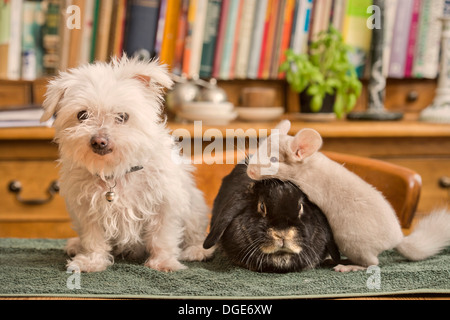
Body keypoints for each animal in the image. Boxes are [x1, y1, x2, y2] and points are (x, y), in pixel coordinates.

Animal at [40, 56, 213, 272]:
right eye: (82, 115)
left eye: (122, 116)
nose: (99, 141)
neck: (116, 171)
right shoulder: (87, 210)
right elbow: (93, 239)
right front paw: (91, 261)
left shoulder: (165, 205)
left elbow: (162, 237)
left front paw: (163, 262)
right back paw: (75, 245)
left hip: (195, 209)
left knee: (195, 234)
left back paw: (197, 251)